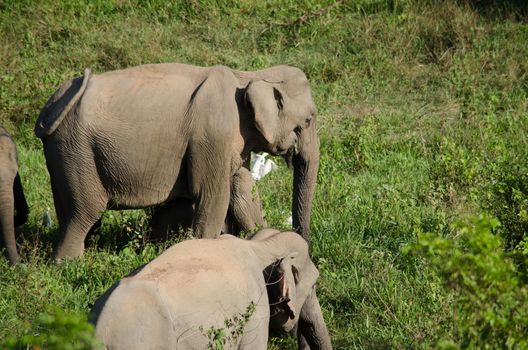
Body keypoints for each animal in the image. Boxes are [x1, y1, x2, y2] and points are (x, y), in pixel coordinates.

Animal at [35, 64, 320, 258]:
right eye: (308, 119)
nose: (306, 247)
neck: (249, 75)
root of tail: (52, 106)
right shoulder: (214, 136)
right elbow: (213, 197)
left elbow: (239, 185)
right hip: (76, 150)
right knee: (84, 213)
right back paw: (69, 264)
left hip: (63, 153)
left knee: (73, 213)